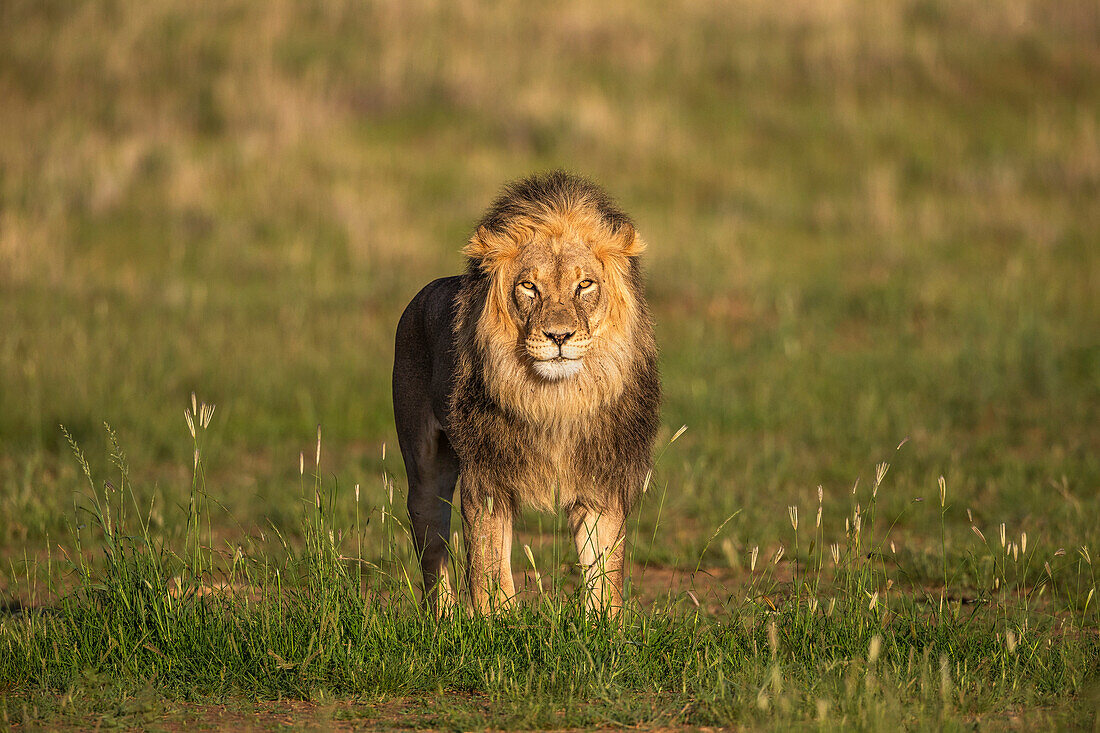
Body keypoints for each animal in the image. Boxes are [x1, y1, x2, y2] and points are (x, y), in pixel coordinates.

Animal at [391, 171, 655, 611]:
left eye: (585, 284)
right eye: (529, 286)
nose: (559, 336)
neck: (555, 400)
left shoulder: (600, 479)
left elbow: (605, 572)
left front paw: (604, 622)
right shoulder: (488, 477)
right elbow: (488, 569)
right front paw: (496, 621)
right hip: (423, 463)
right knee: (430, 538)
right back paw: (444, 616)